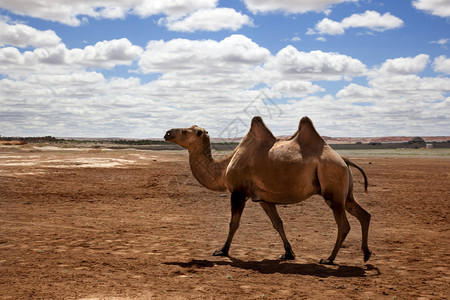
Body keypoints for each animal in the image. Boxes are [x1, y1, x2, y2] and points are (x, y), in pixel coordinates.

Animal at [163, 116, 370, 264]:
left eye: (185, 131)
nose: (167, 132)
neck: (224, 167)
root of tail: (344, 160)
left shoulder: (239, 193)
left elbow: (233, 224)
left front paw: (222, 250)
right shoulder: (263, 198)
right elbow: (278, 223)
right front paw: (288, 253)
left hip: (333, 185)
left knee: (344, 224)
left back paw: (329, 259)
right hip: (345, 193)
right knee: (364, 214)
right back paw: (366, 254)